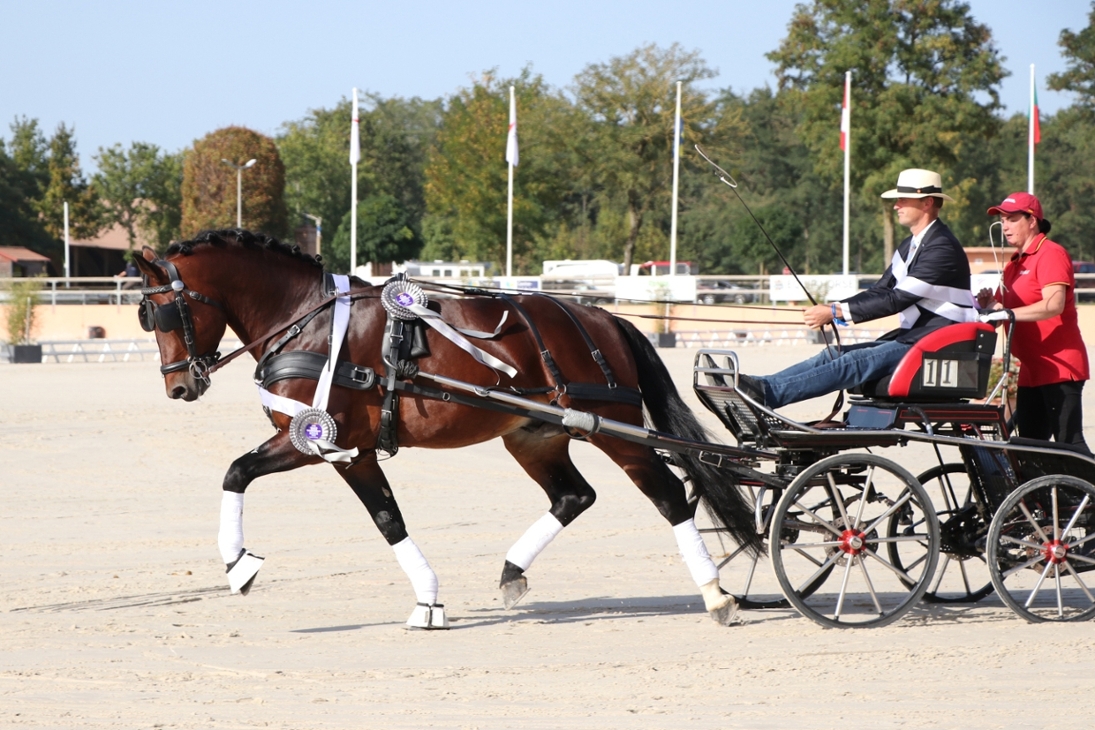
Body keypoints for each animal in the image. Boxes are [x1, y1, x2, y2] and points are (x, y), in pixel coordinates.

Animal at [132, 229, 757, 630]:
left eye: (158, 314)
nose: (179, 387)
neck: (310, 319)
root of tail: (603, 317)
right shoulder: (353, 450)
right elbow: (388, 520)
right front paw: (429, 602)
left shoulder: (320, 440)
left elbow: (238, 472)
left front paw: (238, 564)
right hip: (533, 436)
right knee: (574, 496)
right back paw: (512, 572)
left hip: (616, 431)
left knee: (668, 495)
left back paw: (715, 595)